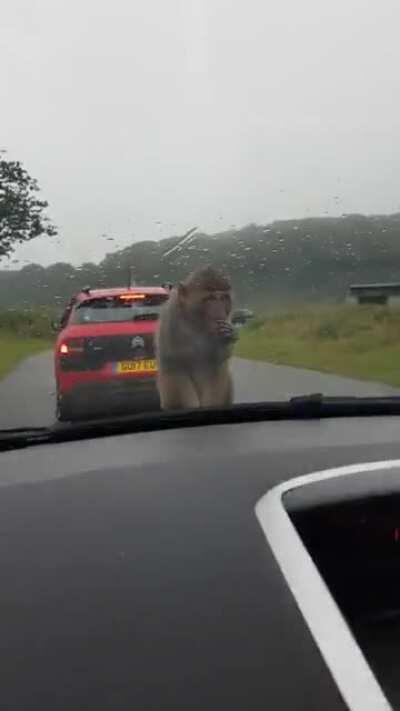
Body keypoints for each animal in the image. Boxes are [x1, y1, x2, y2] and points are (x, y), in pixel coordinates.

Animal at [155, 266, 237, 410]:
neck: (197, 323)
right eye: (210, 298)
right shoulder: (171, 320)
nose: (219, 313)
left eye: (223, 297)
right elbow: (176, 365)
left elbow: (216, 364)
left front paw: (227, 335)